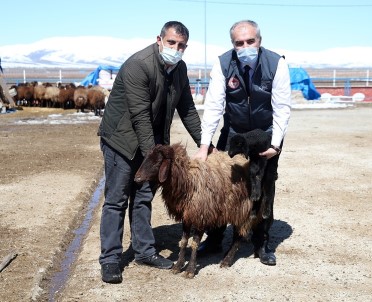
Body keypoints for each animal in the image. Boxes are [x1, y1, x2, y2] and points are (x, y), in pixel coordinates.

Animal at [135, 143, 260, 278]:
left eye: (157, 162)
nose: (136, 178)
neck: (188, 181)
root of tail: (242, 158)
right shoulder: (187, 216)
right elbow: (184, 241)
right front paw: (178, 266)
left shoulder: (201, 216)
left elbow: (195, 244)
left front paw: (190, 270)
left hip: (242, 209)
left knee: (238, 236)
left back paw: (227, 261)